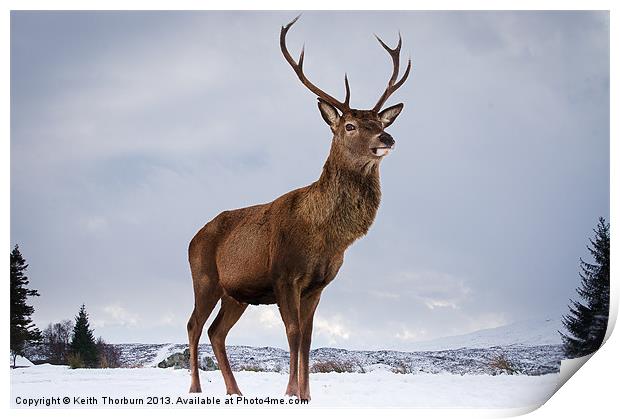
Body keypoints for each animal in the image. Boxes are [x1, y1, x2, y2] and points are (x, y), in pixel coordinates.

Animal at [189, 15, 412, 400]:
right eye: (350, 125)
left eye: (379, 122)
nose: (387, 138)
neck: (325, 236)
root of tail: (190, 238)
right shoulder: (284, 276)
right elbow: (292, 333)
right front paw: (291, 391)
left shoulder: (318, 285)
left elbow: (307, 339)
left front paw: (306, 394)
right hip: (204, 277)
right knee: (193, 325)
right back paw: (195, 388)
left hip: (237, 293)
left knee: (216, 331)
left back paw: (236, 391)